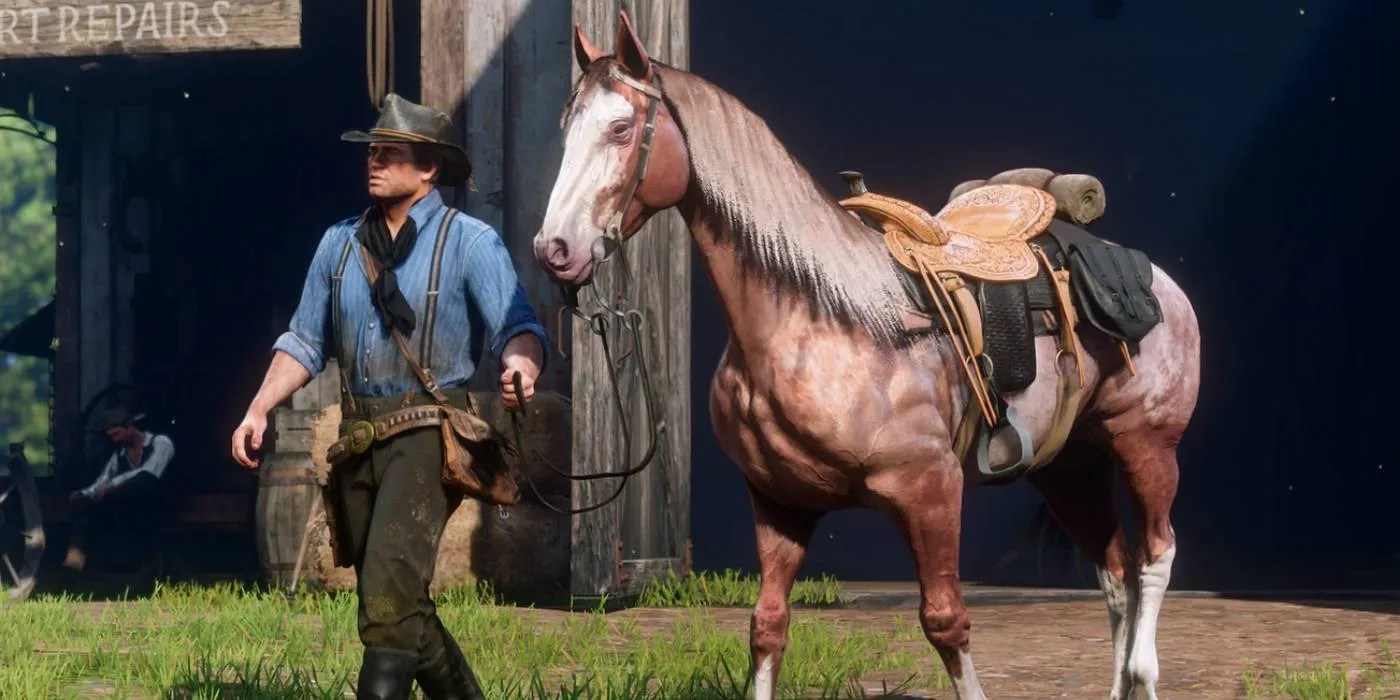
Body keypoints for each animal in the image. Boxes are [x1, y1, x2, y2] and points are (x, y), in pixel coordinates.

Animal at [532, 13, 1201, 700]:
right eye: (567, 128)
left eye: (620, 128)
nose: (554, 249)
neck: (822, 321)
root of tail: (1154, 280)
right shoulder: (779, 502)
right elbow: (767, 626)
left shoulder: (931, 489)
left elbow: (947, 622)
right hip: (1070, 466)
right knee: (1116, 573)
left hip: (1145, 443)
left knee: (1155, 557)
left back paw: (1145, 669)